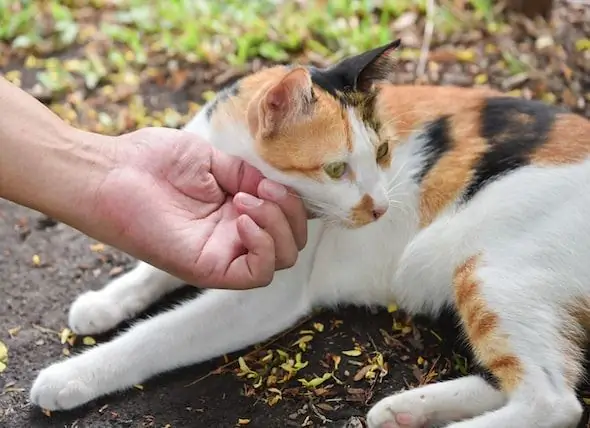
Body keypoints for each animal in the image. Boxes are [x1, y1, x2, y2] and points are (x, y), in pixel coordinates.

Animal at [27, 38, 590, 426]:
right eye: (337, 169)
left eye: (382, 153)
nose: (381, 207)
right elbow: (154, 268)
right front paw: (103, 302)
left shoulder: (259, 299)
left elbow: (156, 335)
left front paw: (71, 376)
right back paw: (405, 411)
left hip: (487, 268)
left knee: (553, 401)